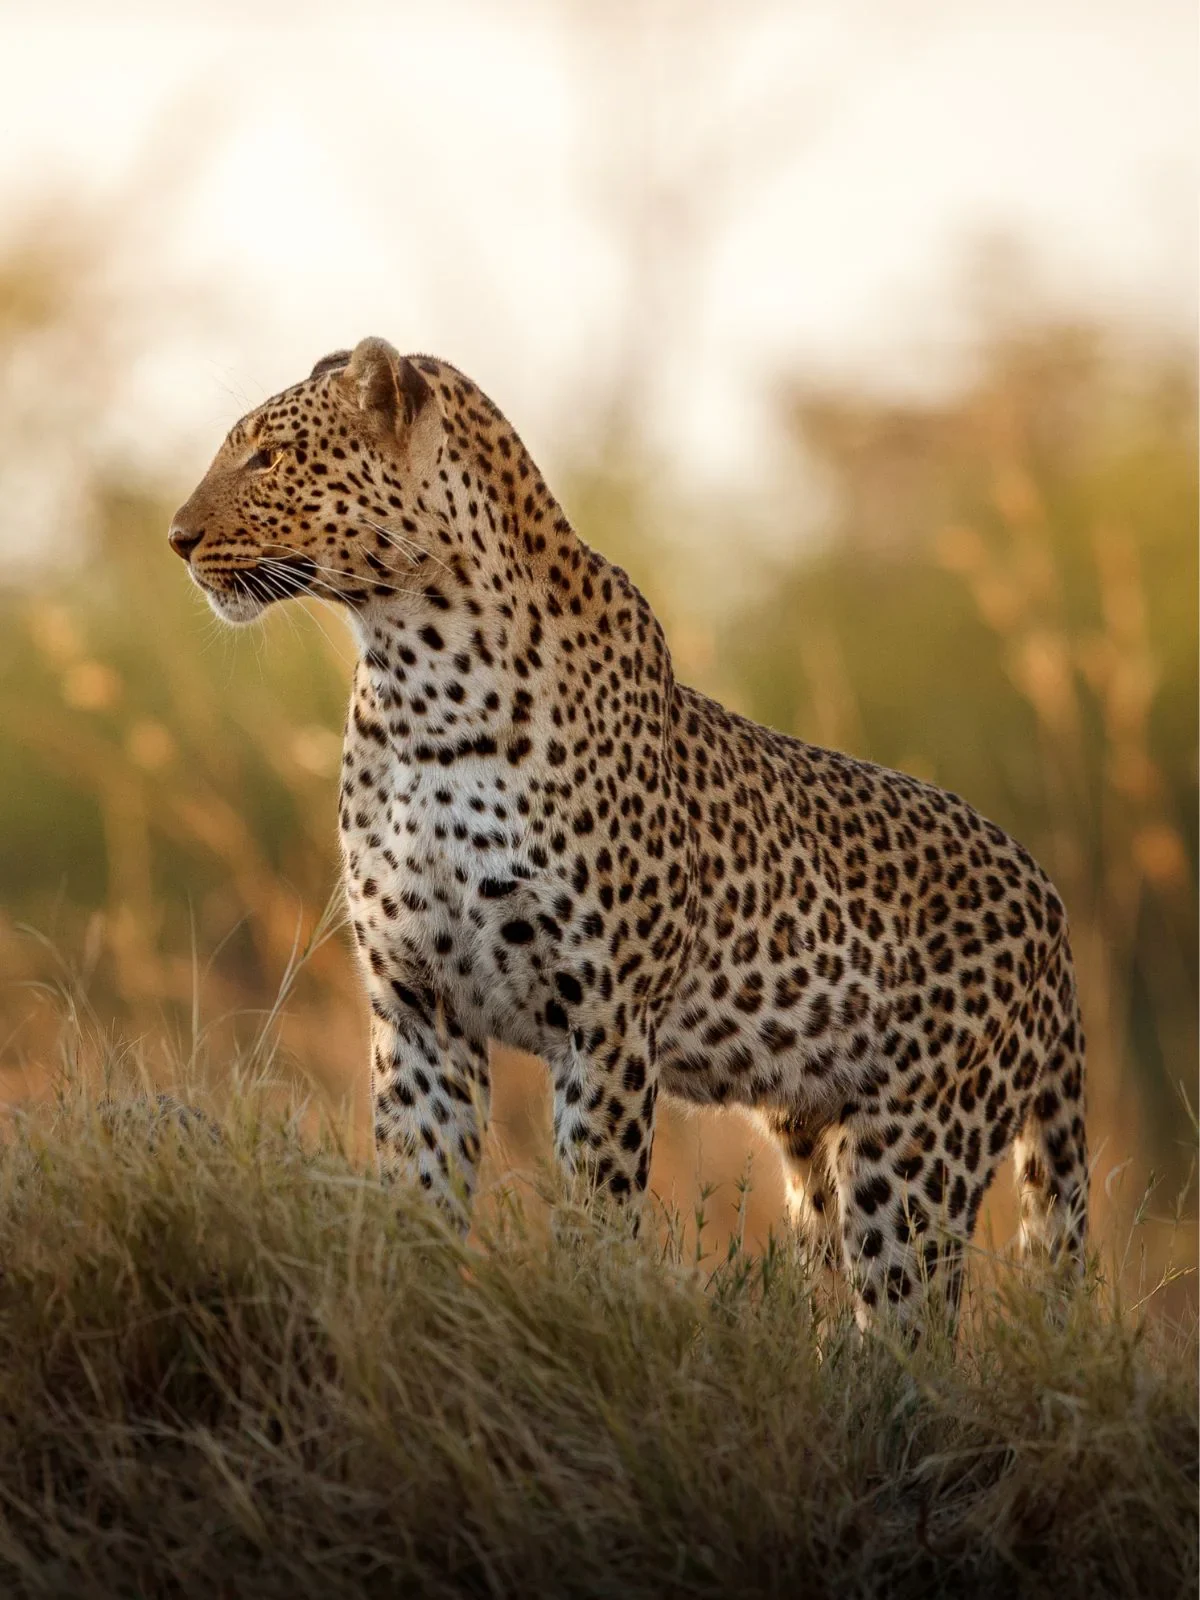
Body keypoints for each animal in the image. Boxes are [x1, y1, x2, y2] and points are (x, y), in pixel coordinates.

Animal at [169, 336, 1088, 1333]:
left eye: (268, 458)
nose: (177, 537)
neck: (417, 677)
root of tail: (1049, 901)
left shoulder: (603, 1018)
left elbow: (596, 1213)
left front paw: (582, 1318)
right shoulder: (418, 1006)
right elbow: (417, 1197)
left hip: (918, 1149)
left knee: (911, 1329)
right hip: (816, 1144)